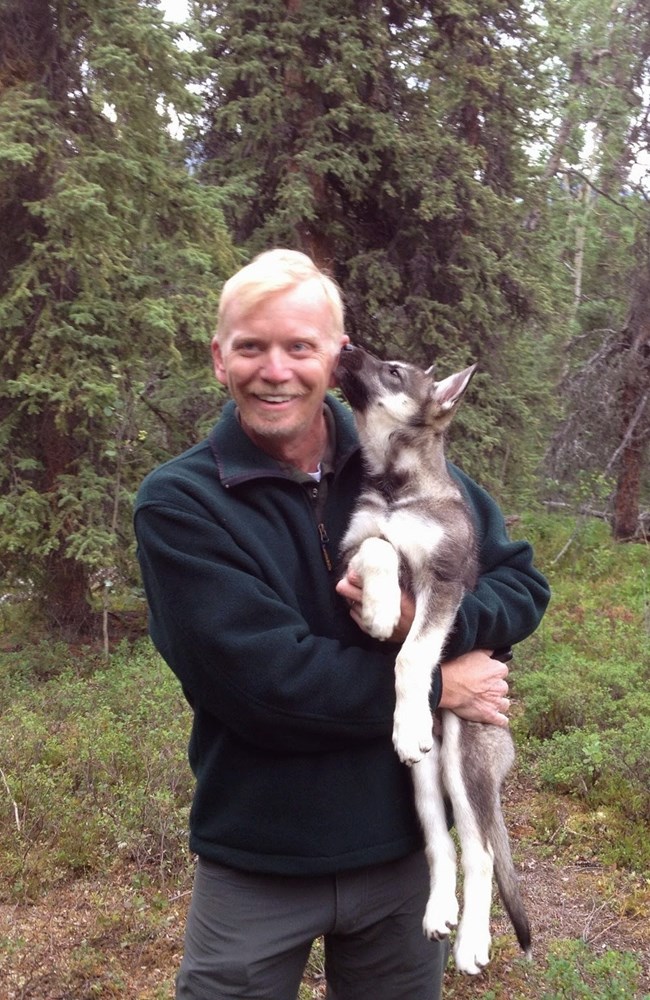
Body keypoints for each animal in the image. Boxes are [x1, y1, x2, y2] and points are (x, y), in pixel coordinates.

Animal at [336, 344, 528, 976]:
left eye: (393, 371)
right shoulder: (352, 549)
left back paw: (471, 942)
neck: (398, 486)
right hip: (422, 774)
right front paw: (377, 609)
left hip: (465, 763)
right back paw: (440, 911)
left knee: (482, 851)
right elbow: (377, 546)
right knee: (440, 843)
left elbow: (414, 653)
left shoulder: (442, 584)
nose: (344, 344)